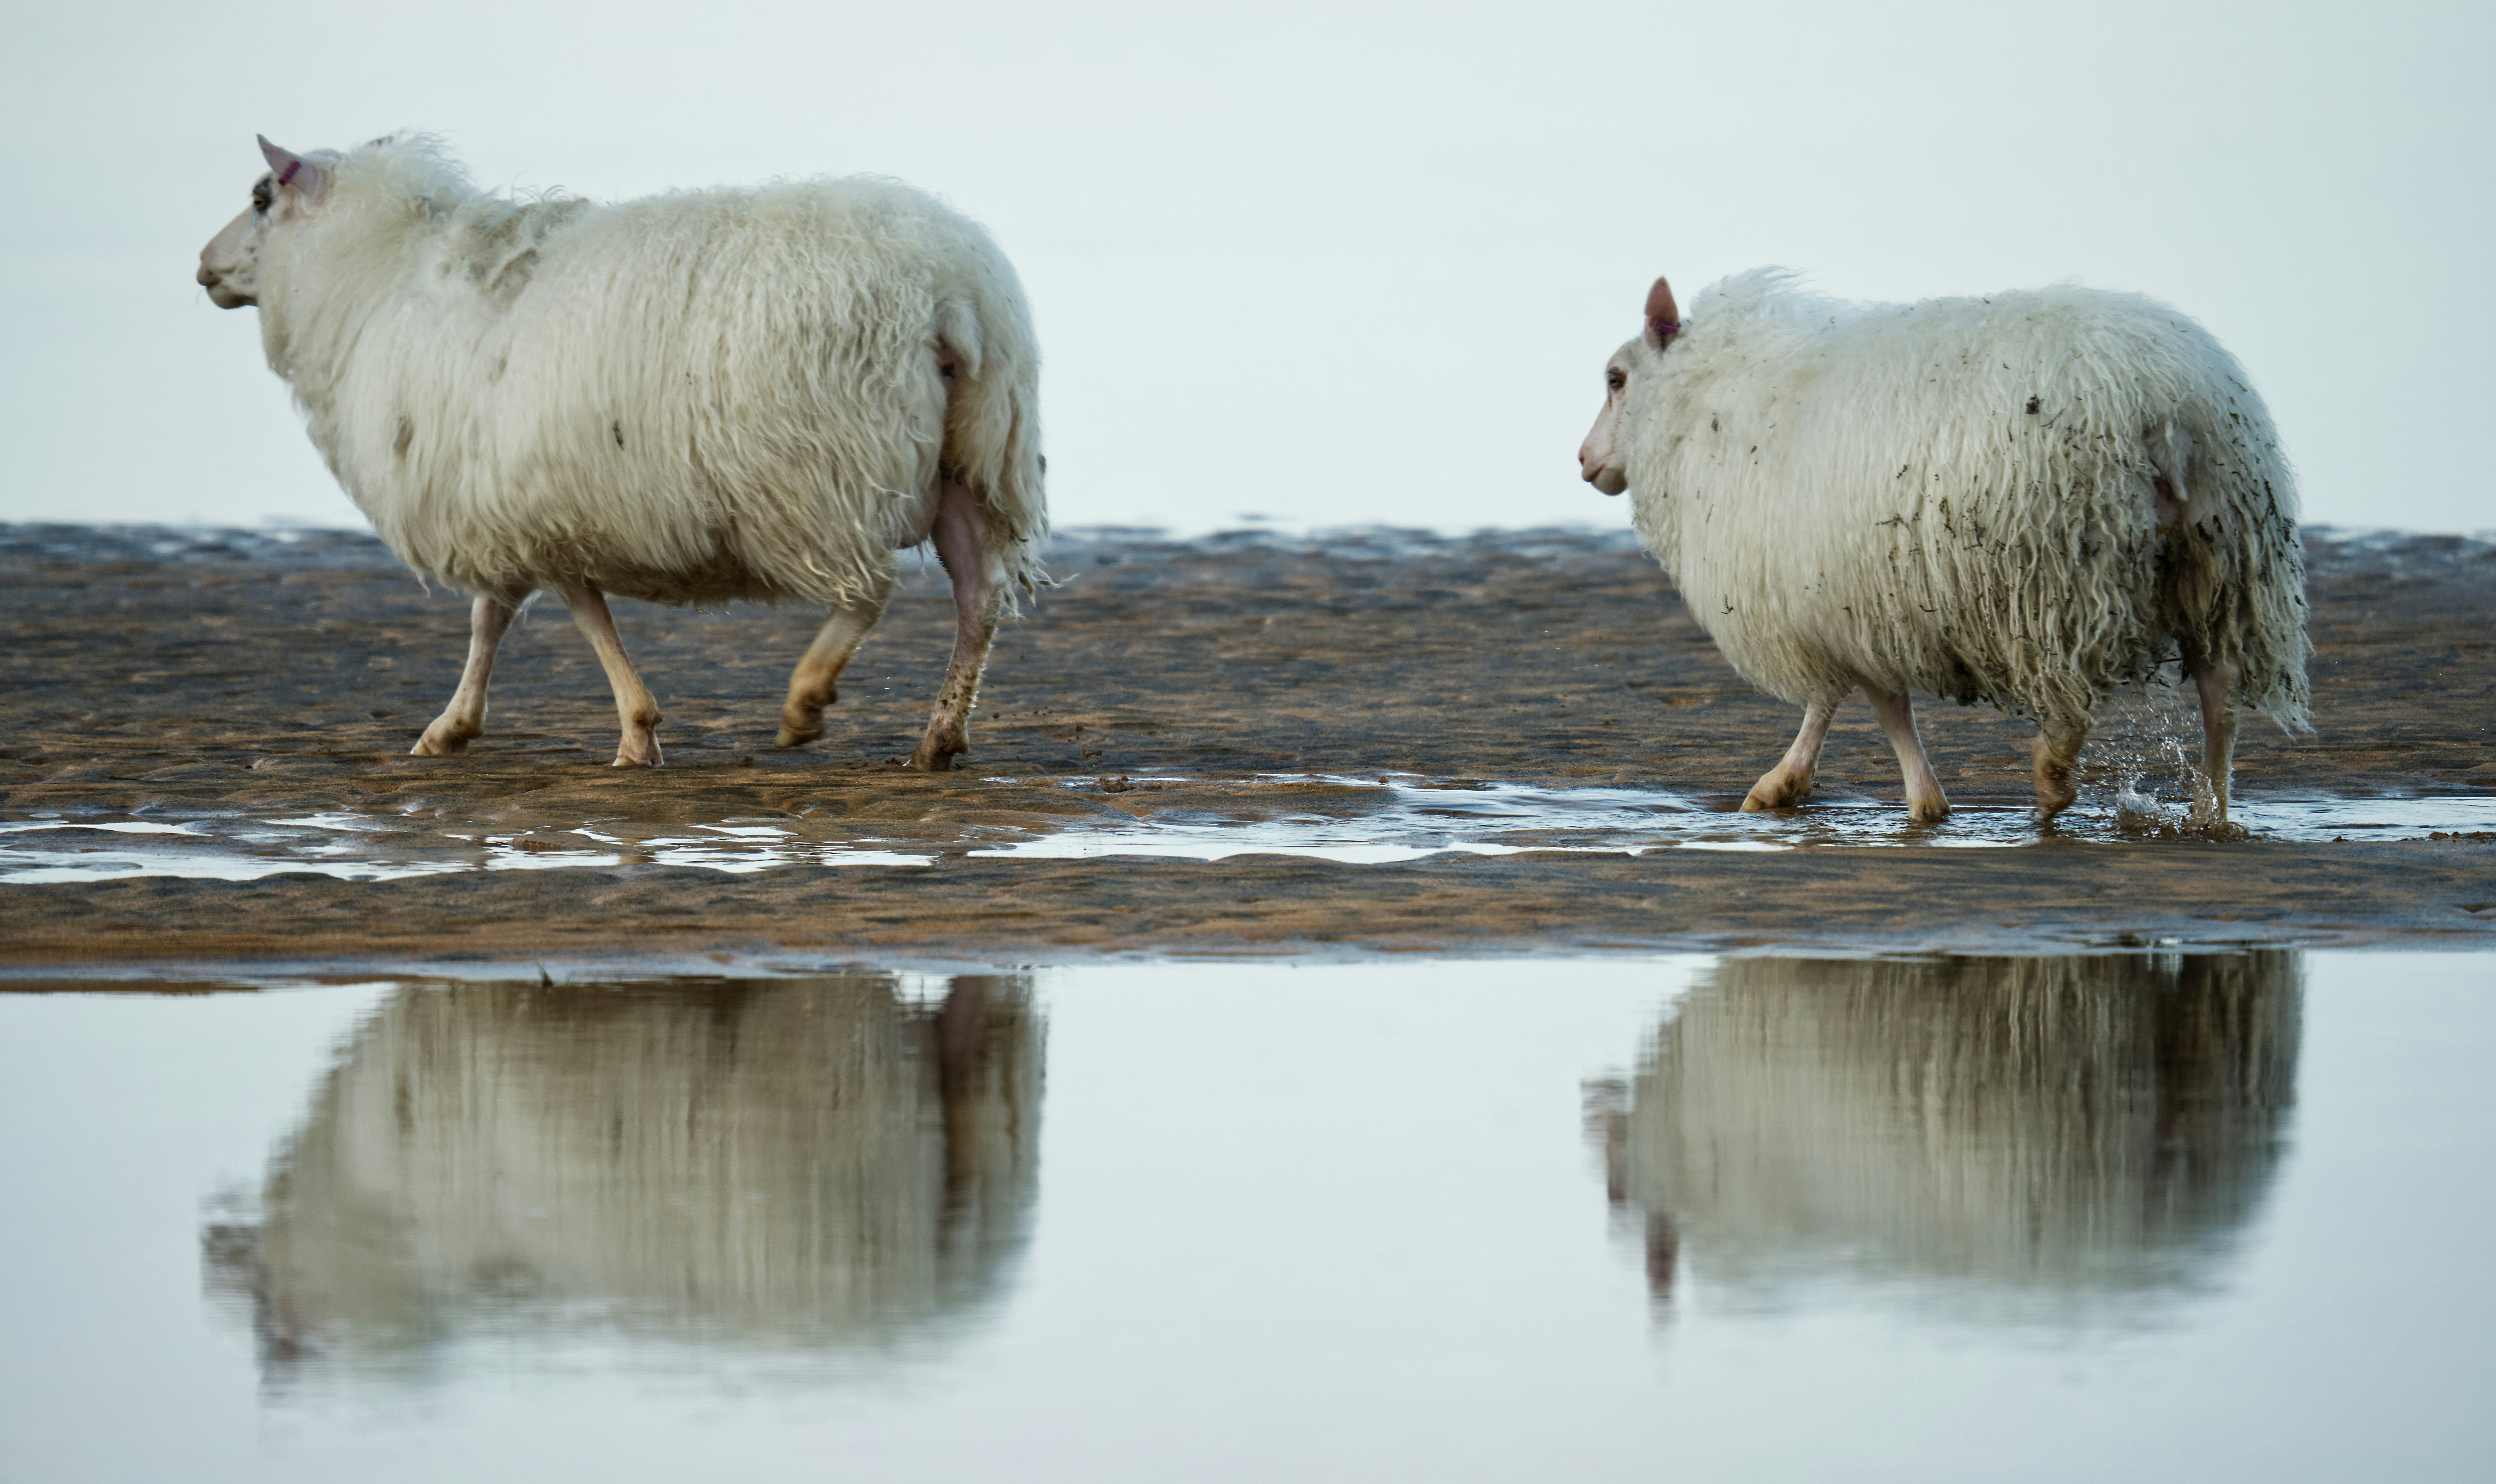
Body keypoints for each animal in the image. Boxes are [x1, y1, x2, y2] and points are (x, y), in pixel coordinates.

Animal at [196, 134, 1047, 771]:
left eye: (263, 199)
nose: (204, 267)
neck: (374, 280)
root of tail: (948, 291)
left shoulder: (539, 511)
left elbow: (566, 617)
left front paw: (631, 732)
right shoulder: (519, 504)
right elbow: (498, 617)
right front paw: (457, 726)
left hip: (820, 473)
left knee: (866, 593)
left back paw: (806, 701)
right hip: (974, 461)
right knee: (978, 599)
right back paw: (938, 739)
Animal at [1578, 270, 2309, 825]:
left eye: (1616, 378)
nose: (1585, 461)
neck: (1694, 402)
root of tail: (2168, 408)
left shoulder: (1833, 601)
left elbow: (1863, 705)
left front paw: (1804, 786)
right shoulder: (1850, 600)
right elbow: (1869, 703)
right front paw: (1902, 798)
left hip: (2056, 573)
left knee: (2072, 699)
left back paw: (2053, 776)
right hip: (2227, 562)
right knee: (2221, 696)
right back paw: (2211, 810)